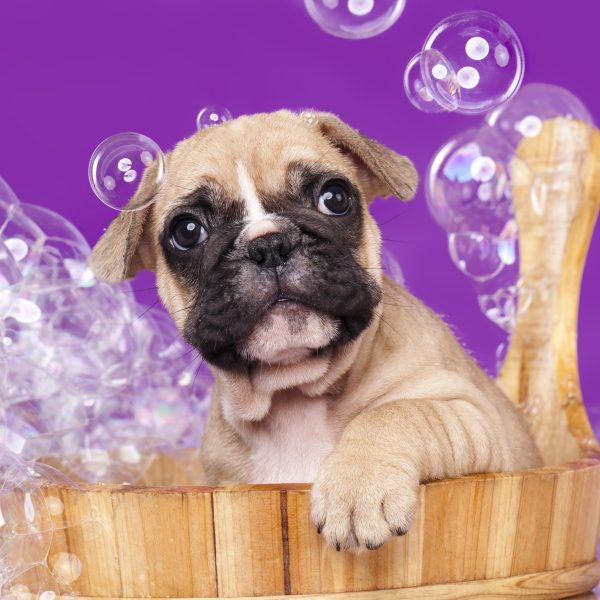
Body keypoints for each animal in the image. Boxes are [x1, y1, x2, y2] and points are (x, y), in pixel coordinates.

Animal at [90, 109, 544, 552]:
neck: (294, 392)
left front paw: (358, 486)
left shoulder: (476, 416)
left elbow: (398, 413)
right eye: (187, 231)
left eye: (335, 197)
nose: (268, 244)